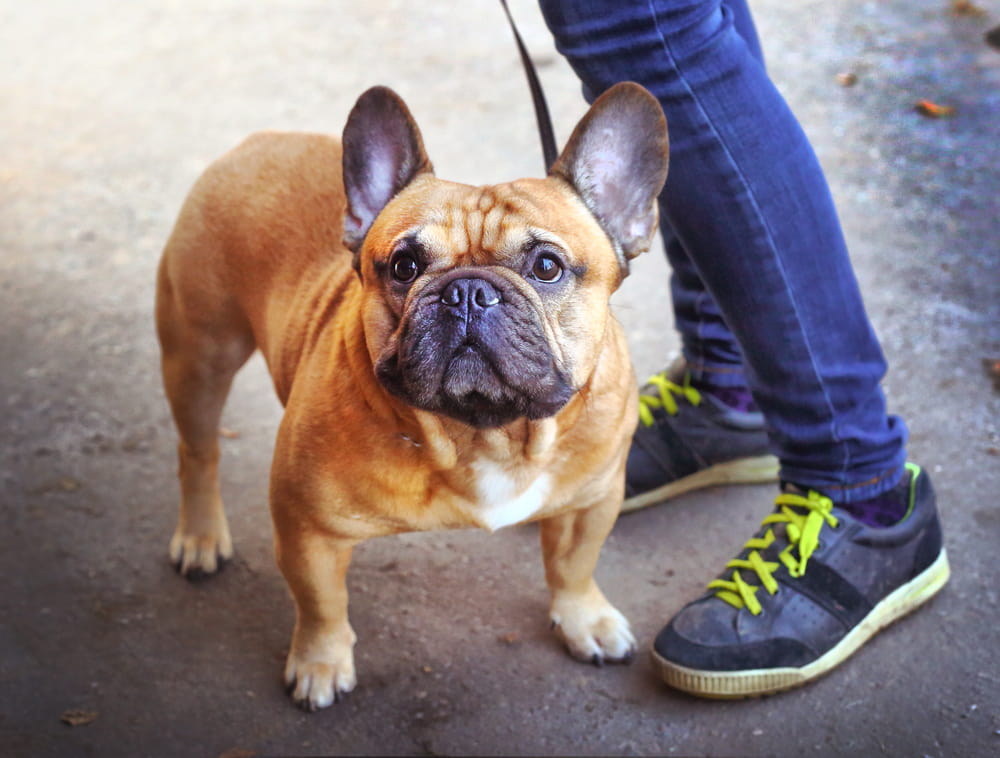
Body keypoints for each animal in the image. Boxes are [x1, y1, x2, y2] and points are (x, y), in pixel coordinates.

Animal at [156, 83, 668, 712]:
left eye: (547, 266)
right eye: (404, 266)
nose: (467, 291)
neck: (483, 433)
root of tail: (257, 142)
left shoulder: (592, 501)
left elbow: (574, 564)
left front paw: (583, 620)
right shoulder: (308, 532)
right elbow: (321, 605)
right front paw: (320, 664)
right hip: (200, 352)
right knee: (198, 450)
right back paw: (201, 536)